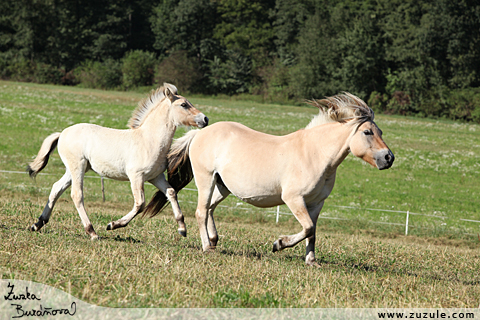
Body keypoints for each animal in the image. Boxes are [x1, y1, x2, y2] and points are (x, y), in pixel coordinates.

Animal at [156, 92, 392, 264]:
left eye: (380, 131)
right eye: (368, 132)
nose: (389, 158)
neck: (314, 154)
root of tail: (200, 132)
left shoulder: (317, 203)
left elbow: (313, 231)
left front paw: (311, 261)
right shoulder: (294, 199)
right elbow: (307, 228)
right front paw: (279, 244)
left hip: (223, 186)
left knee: (210, 209)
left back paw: (214, 241)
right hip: (205, 179)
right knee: (201, 211)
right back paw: (207, 247)